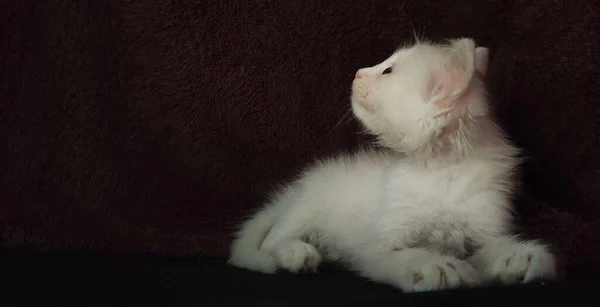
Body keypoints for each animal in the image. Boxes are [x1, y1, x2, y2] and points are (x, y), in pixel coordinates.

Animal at [229, 37, 556, 292]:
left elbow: (489, 249)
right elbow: (402, 256)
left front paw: (519, 256)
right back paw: (296, 252)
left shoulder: (482, 226)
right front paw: (434, 265)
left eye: (387, 71)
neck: (439, 170)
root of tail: (295, 190)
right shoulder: (378, 244)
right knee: (272, 241)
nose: (357, 73)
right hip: (307, 205)